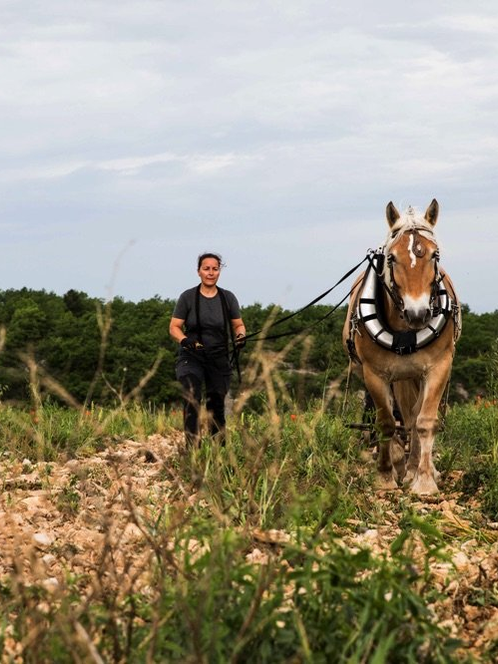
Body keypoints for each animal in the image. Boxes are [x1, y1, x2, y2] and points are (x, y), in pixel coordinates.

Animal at [343, 199, 461, 495]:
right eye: (392, 258)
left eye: (434, 255)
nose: (418, 314)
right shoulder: (375, 374)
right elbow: (386, 423)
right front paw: (386, 475)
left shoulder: (439, 367)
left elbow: (424, 420)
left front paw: (425, 481)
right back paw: (400, 464)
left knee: (413, 417)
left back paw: (415, 467)